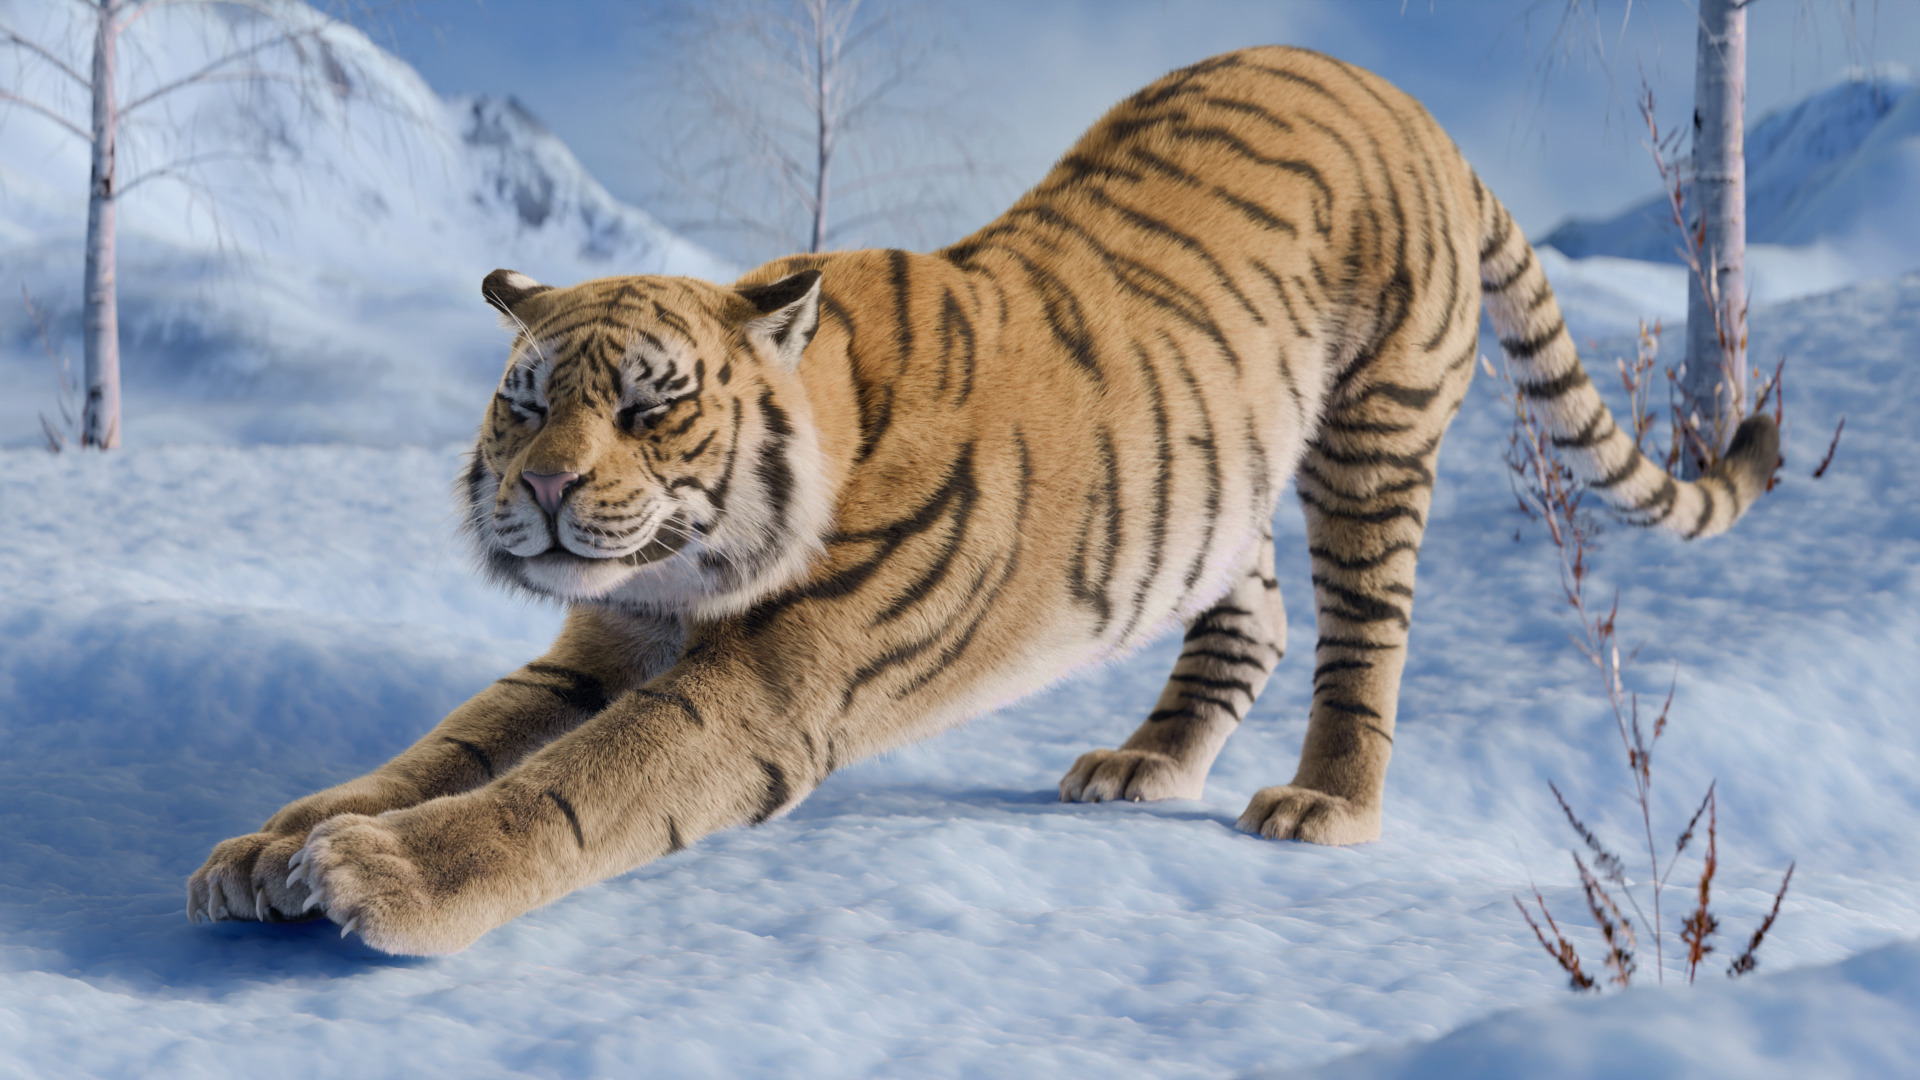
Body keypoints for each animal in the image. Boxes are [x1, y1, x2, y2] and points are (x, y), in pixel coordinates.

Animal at [188, 46, 1778, 955]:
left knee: (1363, 631)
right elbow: (457, 741)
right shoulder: (604, 641)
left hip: (1373, 431)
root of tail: (1406, 102)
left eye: (648, 406)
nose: (537, 489)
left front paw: (386, 876)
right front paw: (274, 845)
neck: (691, 572)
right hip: (1213, 475)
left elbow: (572, 791)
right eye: (523, 401)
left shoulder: (766, 685)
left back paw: (1323, 803)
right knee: (1251, 607)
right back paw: (1143, 764)